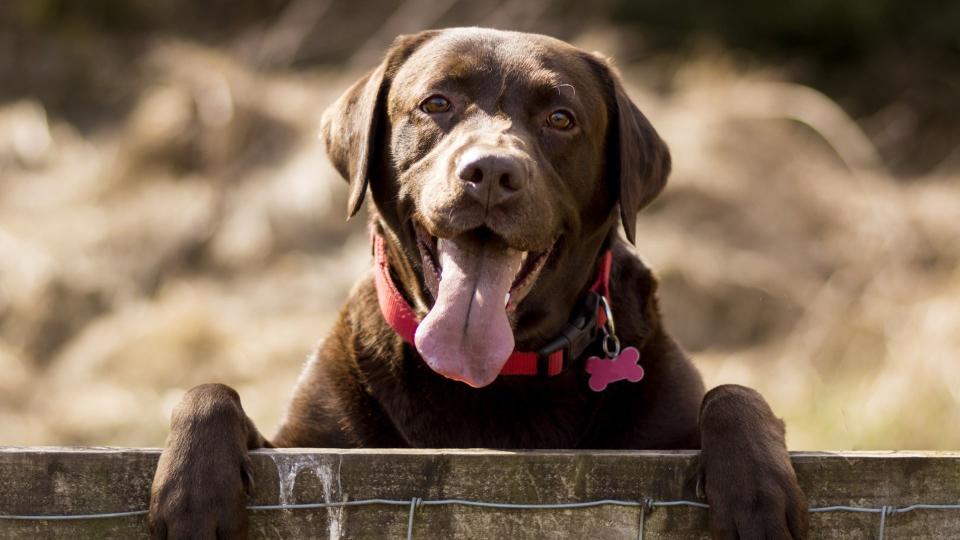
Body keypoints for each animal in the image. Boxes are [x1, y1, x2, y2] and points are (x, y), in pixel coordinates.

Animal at [150, 27, 808, 536]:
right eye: (437, 103)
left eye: (561, 118)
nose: (491, 171)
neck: (496, 376)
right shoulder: (306, 447)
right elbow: (211, 392)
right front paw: (190, 489)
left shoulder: (664, 432)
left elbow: (734, 395)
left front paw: (756, 491)